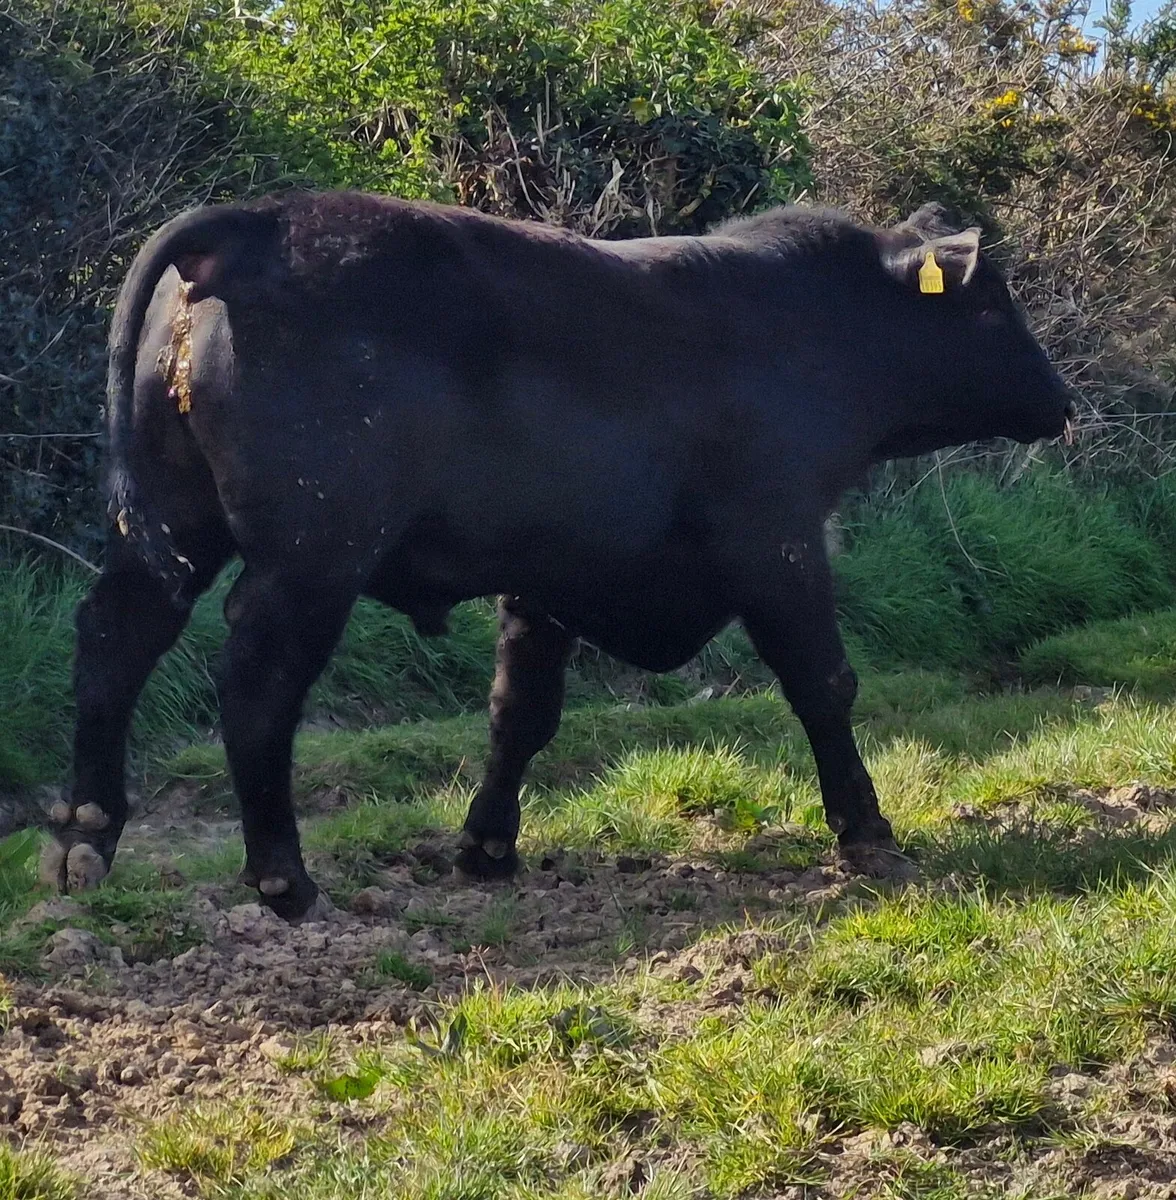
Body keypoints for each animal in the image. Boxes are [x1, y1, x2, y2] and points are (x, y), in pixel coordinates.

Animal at [41, 191, 1075, 921]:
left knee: (114, 638)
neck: (810, 331)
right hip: (312, 554)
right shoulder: (777, 538)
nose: (1061, 399)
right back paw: (283, 879)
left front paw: (487, 850)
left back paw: (87, 836)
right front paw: (868, 835)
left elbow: (521, 714)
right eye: (994, 301)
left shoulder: (548, 576)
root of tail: (259, 219)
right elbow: (824, 681)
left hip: (172, 527)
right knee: (255, 685)